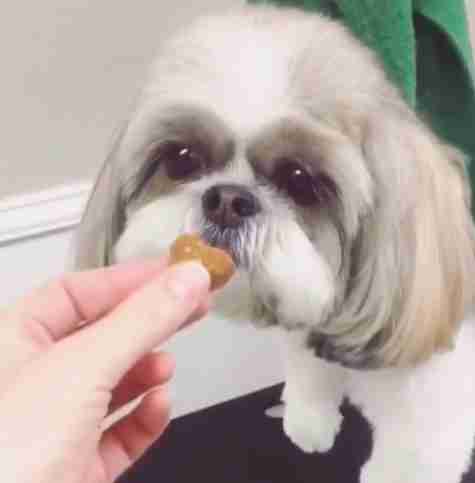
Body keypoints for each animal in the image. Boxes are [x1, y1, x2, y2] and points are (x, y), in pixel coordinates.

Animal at [75, 4, 475, 483]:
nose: (228, 200)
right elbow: (308, 370)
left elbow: (411, 459)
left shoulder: (431, 415)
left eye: (300, 180)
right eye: (182, 159)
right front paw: (308, 423)